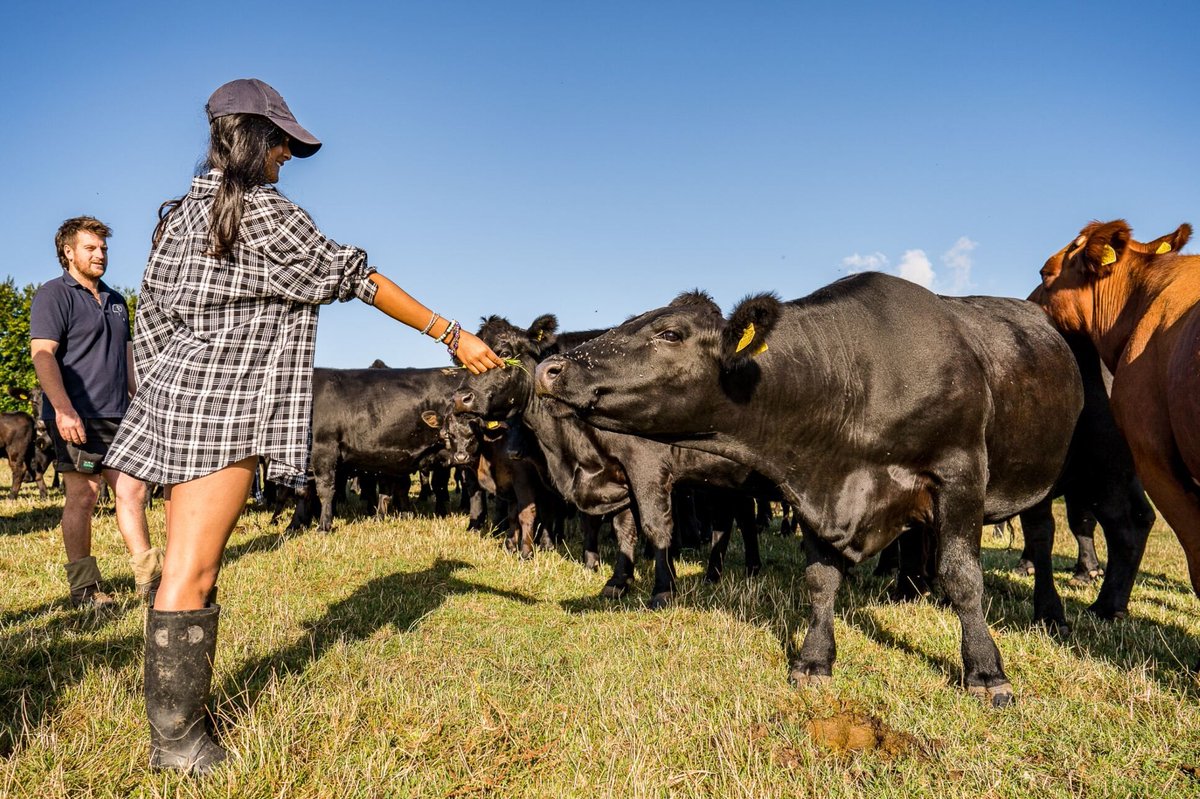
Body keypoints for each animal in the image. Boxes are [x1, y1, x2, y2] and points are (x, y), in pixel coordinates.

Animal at [540, 273, 1084, 705]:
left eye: (670, 333)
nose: (551, 369)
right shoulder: (811, 486)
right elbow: (821, 581)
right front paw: (814, 660)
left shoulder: (960, 474)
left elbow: (964, 576)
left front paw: (985, 670)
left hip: (1044, 481)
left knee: (1040, 540)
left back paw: (1050, 611)